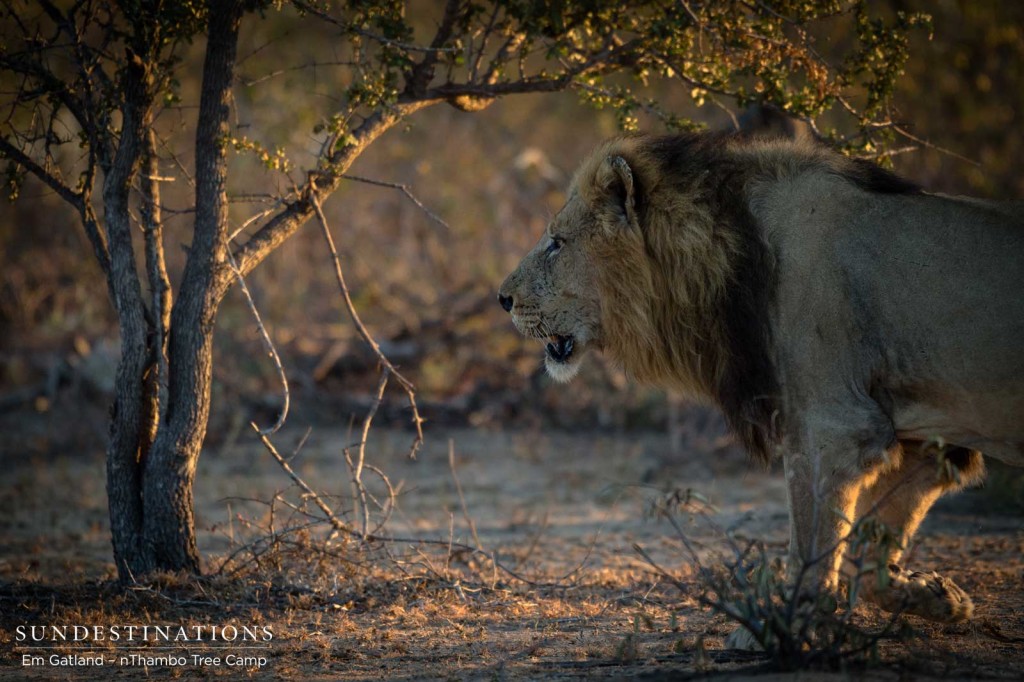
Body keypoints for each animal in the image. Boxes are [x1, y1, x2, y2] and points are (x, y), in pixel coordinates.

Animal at [497, 133, 1024, 630]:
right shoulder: (925, 440)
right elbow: (873, 545)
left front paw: (786, 628)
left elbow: (811, 550)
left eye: (557, 243)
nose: (502, 299)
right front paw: (935, 596)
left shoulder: (830, 428)